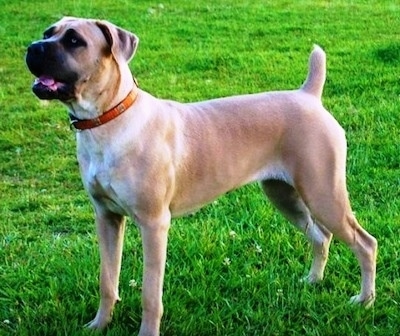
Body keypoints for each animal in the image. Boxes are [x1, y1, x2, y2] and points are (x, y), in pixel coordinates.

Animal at [26, 16, 376, 336]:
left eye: (75, 41)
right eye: (48, 32)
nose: (32, 48)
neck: (109, 119)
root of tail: (308, 95)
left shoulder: (153, 224)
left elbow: (150, 293)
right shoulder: (107, 217)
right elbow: (107, 279)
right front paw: (99, 324)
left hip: (323, 193)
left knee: (364, 243)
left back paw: (364, 300)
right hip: (284, 195)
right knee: (321, 236)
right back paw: (313, 280)